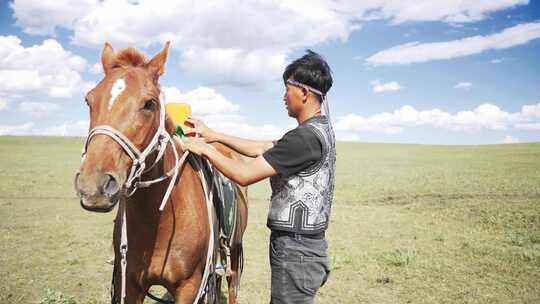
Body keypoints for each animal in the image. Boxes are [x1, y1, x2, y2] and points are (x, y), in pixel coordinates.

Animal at [74, 41, 247, 302]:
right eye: (88, 100)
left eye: (149, 104)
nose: (94, 186)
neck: (157, 220)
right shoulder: (130, 283)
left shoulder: (190, 286)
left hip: (233, 253)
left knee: (232, 282)